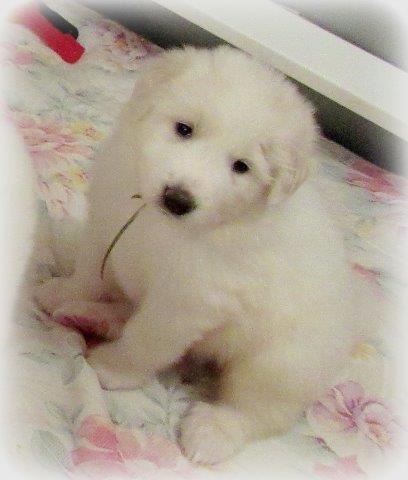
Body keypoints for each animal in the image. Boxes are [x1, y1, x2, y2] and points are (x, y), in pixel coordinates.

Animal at [34, 46, 365, 464]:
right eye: (184, 129)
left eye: (241, 166)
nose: (177, 199)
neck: (164, 227)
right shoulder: (106, 226)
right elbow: (90, 273)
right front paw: (61, 291)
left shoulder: (187, 301)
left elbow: (147, 339)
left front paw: (113, 369)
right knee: (127, 312)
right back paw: (86, 314)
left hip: (280, 364)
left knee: (257, 411)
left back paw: (211, 433)